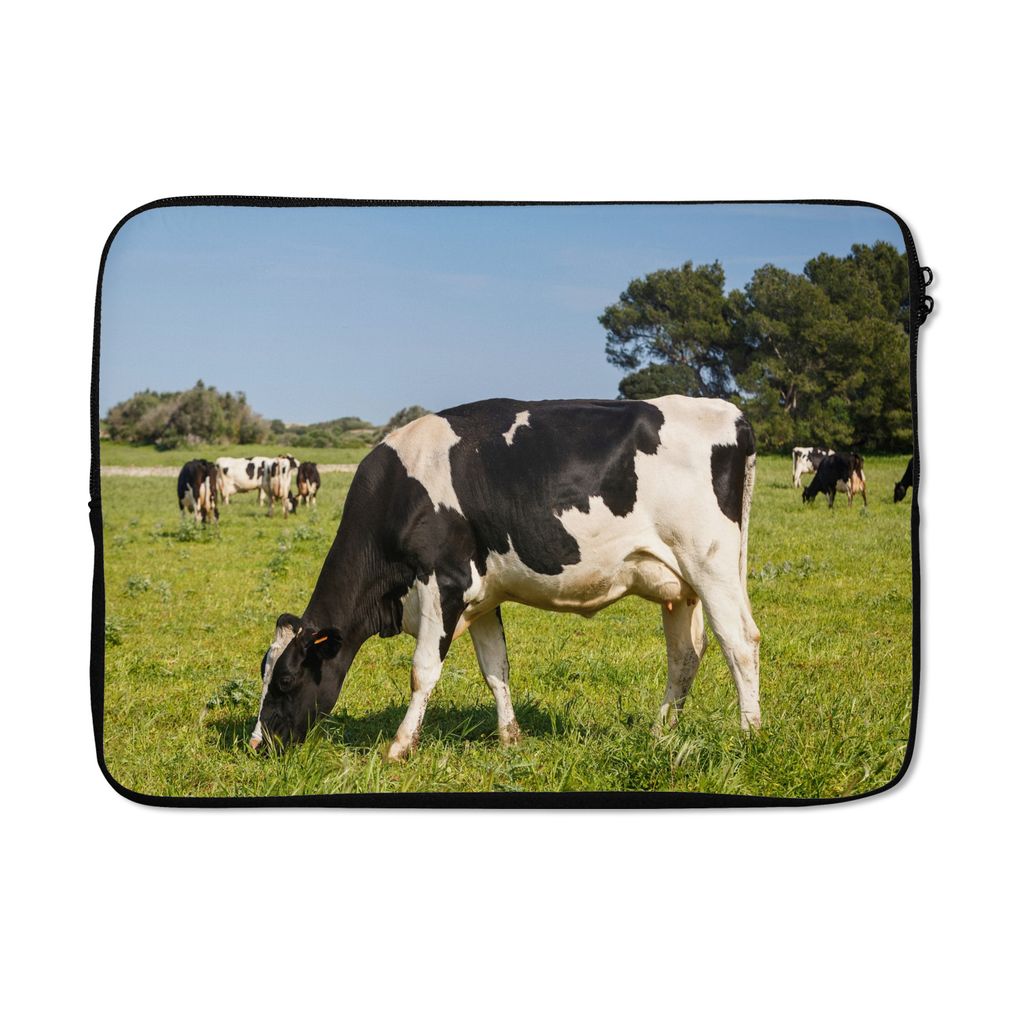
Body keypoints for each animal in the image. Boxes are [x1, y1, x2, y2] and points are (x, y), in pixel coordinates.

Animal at [249, 396, 762, 760]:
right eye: (264, 672)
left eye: (287, 680)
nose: (256, 744)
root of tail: (731, 412)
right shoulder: (482, 597)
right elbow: (495, 669)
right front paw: (510, 737)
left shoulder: (445, 584)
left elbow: (422, 671)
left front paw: (399, 746)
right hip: (679, 585)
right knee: (685, 655)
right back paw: (661, 732)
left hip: (711, 565)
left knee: (740, 642)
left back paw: (749, 734)